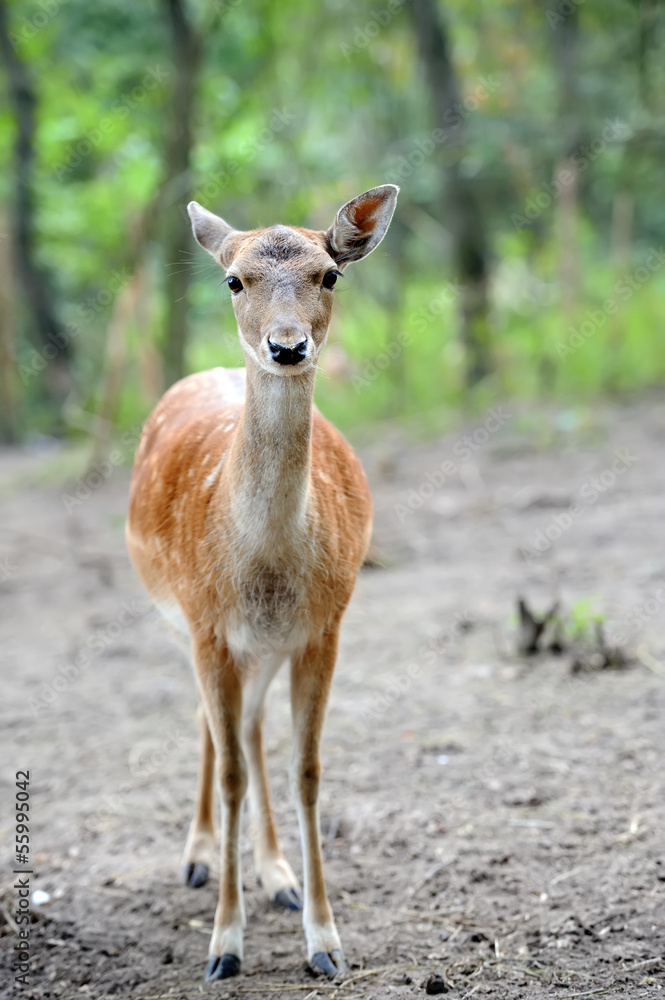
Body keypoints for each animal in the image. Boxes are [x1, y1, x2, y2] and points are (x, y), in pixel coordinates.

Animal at [125, 184, 396, 980]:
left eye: (328, 274)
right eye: (233, 280)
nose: (286, 346)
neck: (266, 566)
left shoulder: (324, 626)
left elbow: (305, 768)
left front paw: (325, 942)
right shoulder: (206, 625)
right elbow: (232, 773)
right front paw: (223, 947)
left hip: (264, 647)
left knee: (247, 729)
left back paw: (275, 875)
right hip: (179, 620)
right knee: (216, 732)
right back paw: (197, 859)